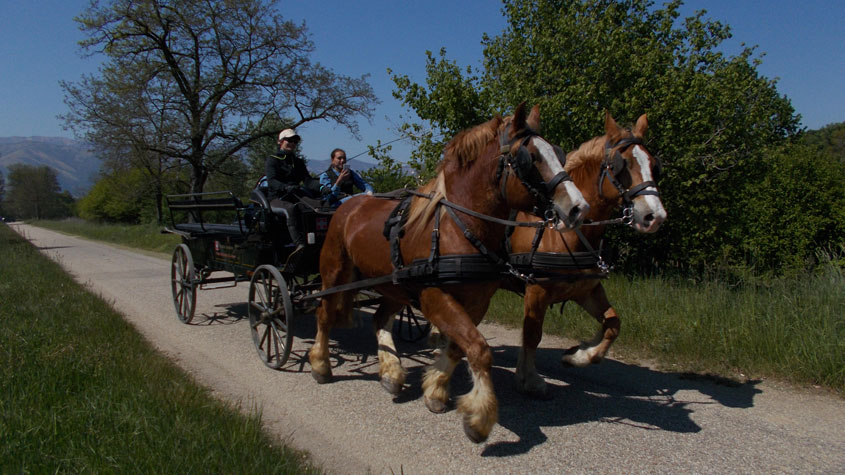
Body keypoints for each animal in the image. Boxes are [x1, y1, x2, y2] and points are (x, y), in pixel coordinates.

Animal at [310, 103, 588, 442]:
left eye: (557, 153)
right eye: (530, 158)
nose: (578, 208)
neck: (460, 226)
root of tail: (348, 205)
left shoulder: (477, 301)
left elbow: (460, 347)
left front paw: (436, 390)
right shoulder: (434, 297)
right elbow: (479, 349)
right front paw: (479, 418)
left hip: (395, 285)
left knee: (379, 318)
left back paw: (391, 372)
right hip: (336, 273)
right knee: (324, 313)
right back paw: (321, 365)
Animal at [508, 113, 664, 400]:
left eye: (653, 165)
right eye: (620, 165)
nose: (655, 216)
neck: (564, 230)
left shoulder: (586, 289)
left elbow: (614, 322)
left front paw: (579, 355)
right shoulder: (536, 290)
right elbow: (532, 334)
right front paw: (529, 379)